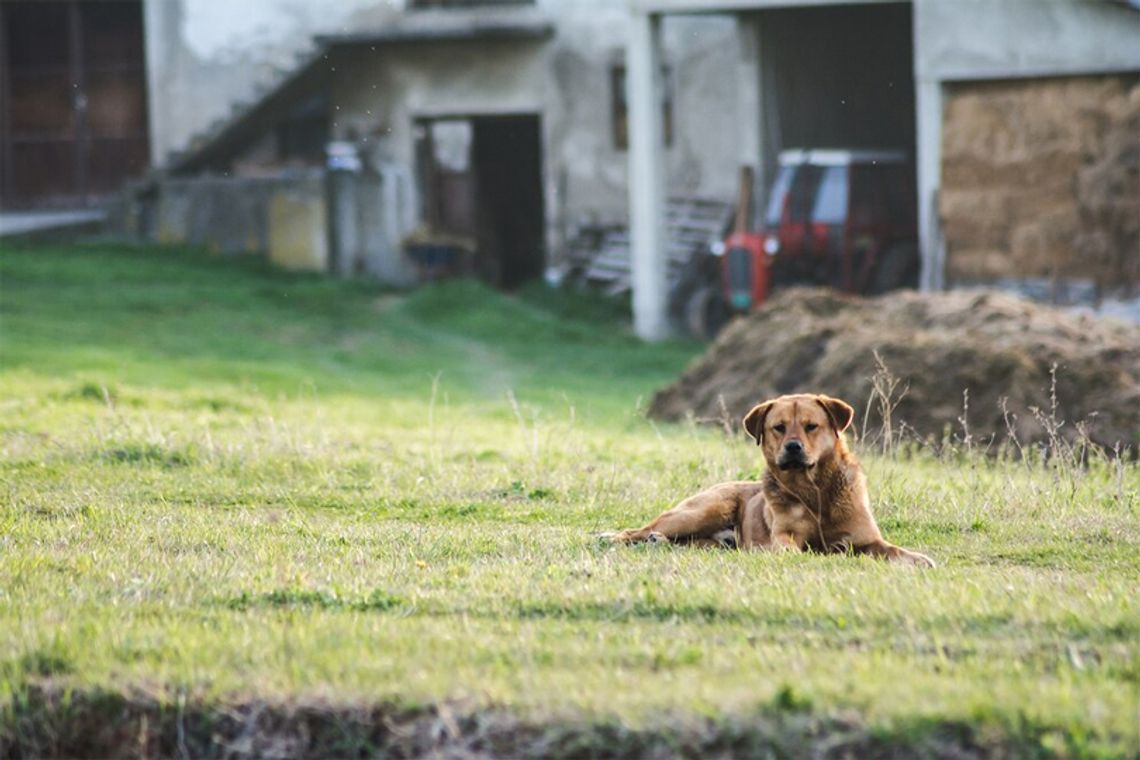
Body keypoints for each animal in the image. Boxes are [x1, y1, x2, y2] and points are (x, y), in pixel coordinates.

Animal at [606, 396, 934, 567]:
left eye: (811, 426)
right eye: (778, 427)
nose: (793, 447)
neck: (814, 493)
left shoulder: (866, 540)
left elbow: (893, 550)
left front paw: (919, 559)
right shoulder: (785, 537)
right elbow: (792, 549)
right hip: (702, 511)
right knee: (639, 530)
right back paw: (614, 537)